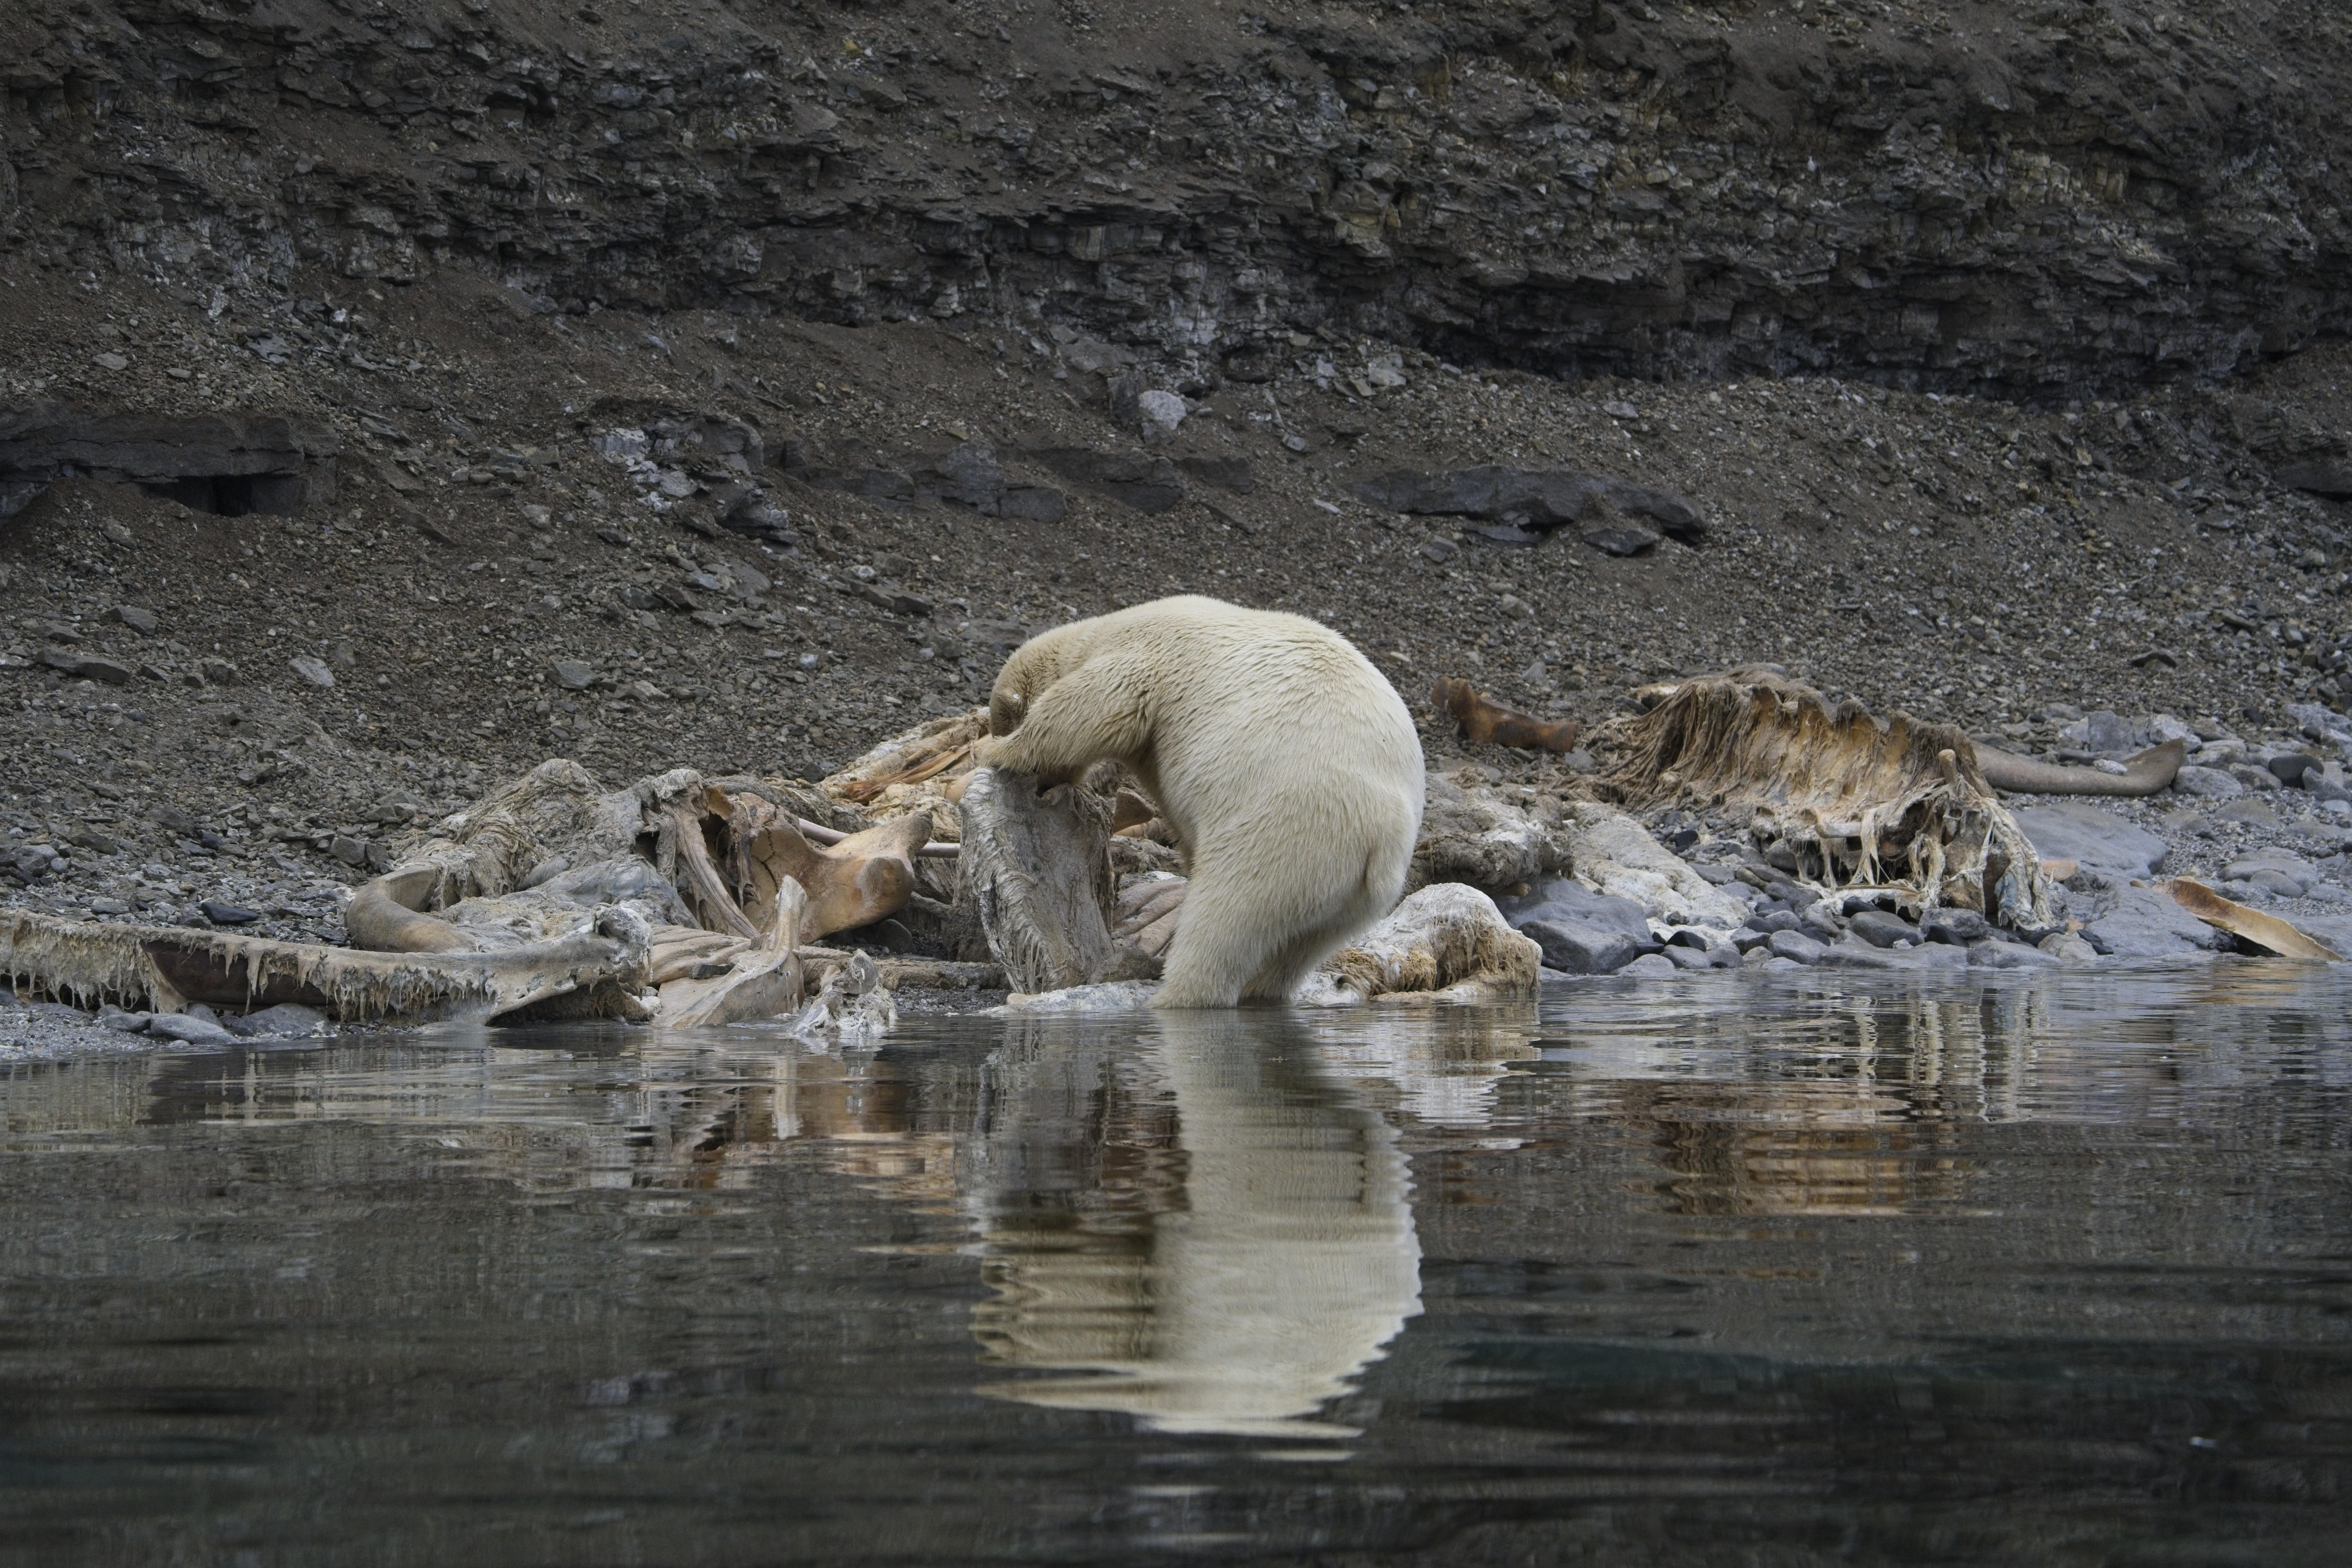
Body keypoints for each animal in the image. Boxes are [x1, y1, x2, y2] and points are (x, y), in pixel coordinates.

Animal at [969, 595, 1411, 1011]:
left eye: (1003, 722)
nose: (1044, 785)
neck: (1103, 631)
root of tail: (1384, 837)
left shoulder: (1145, 655)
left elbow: (1093, 706)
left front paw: (998, 752)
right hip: (1352, 899)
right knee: (1298, 948)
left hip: (1286, 830)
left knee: (1225, 916)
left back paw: (1167, 994)